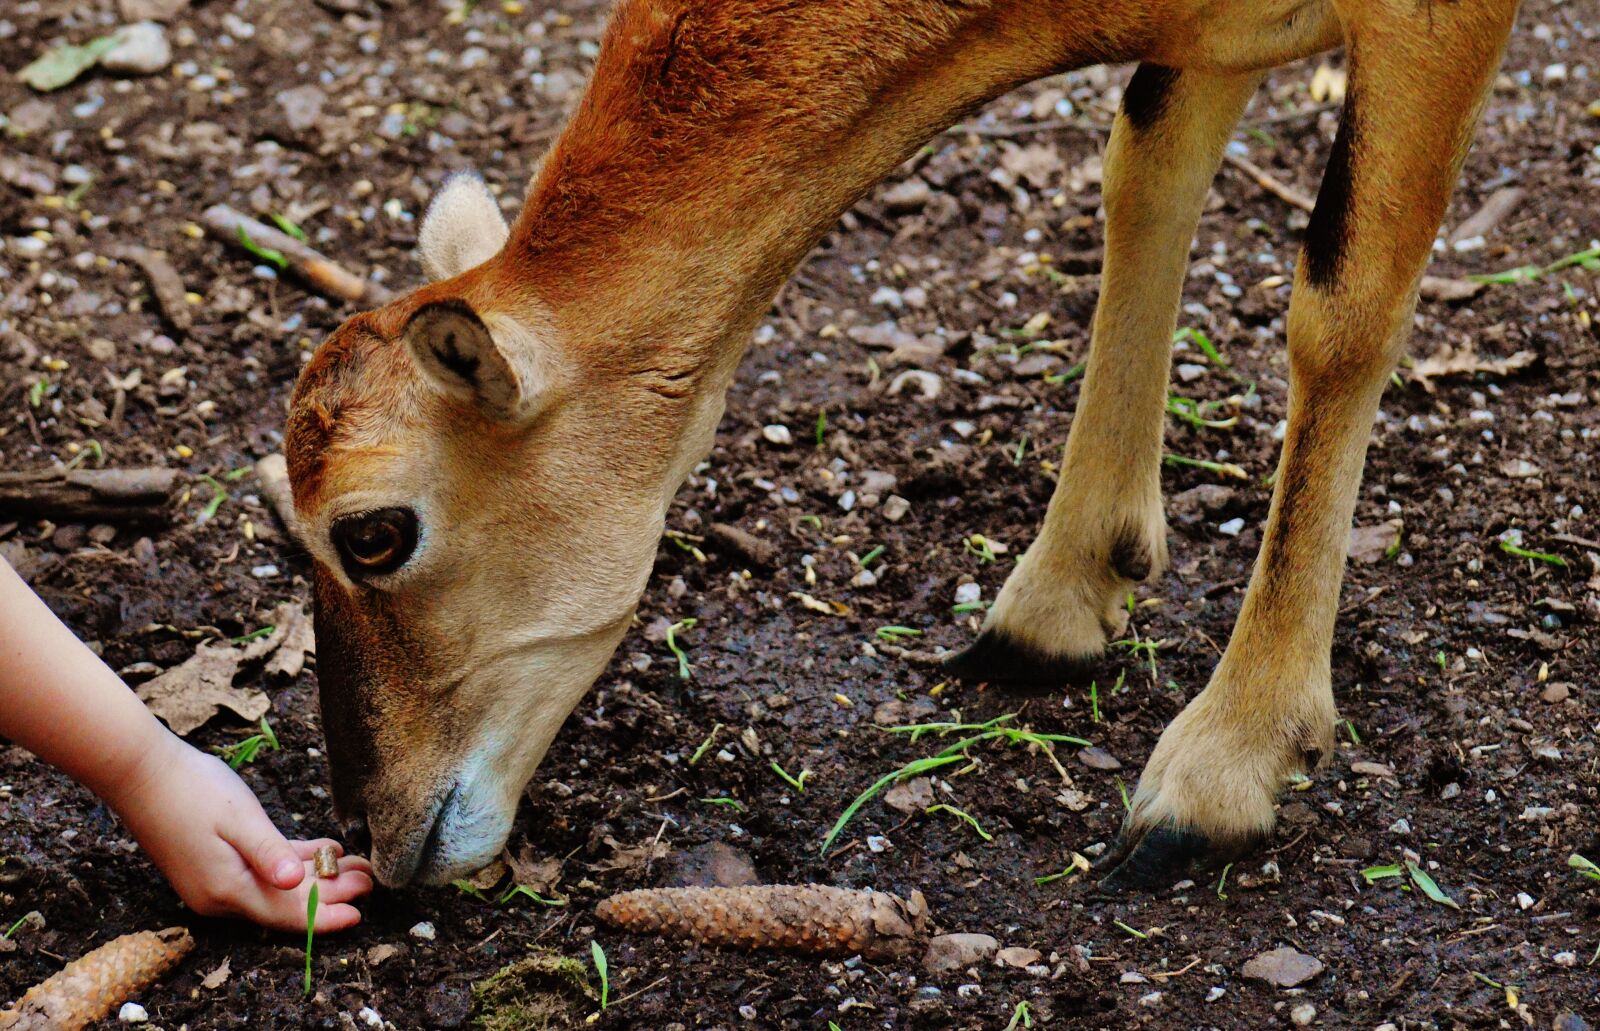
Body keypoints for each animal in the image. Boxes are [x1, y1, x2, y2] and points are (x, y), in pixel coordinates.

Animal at [284, 0, 1521, 889]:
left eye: (374, 530)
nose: (367, 826)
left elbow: (1341, 303)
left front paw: (1219, 775)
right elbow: (1143, 165)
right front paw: (1050, 609)